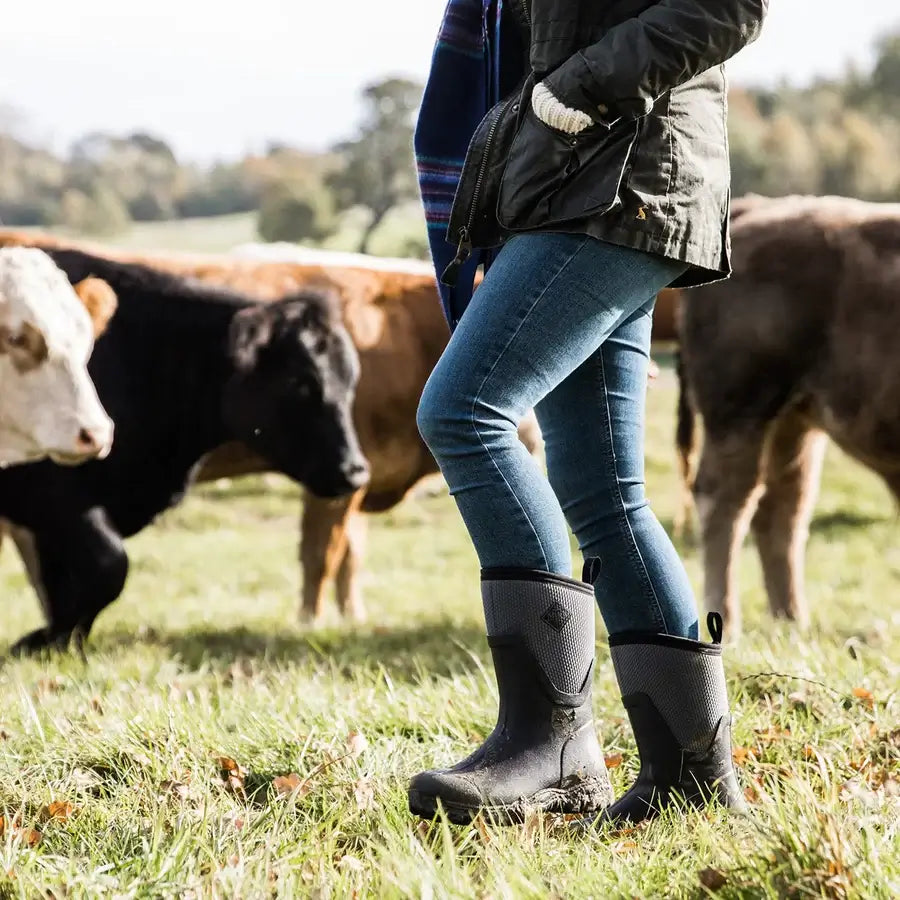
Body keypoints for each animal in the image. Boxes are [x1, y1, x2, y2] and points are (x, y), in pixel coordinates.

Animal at [676, 193, 900, 636]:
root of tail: (759, 209)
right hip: (741, 410)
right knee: (727, 502)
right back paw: (728, 623)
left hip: (795, 419)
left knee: (783, 507)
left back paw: (792, 620)